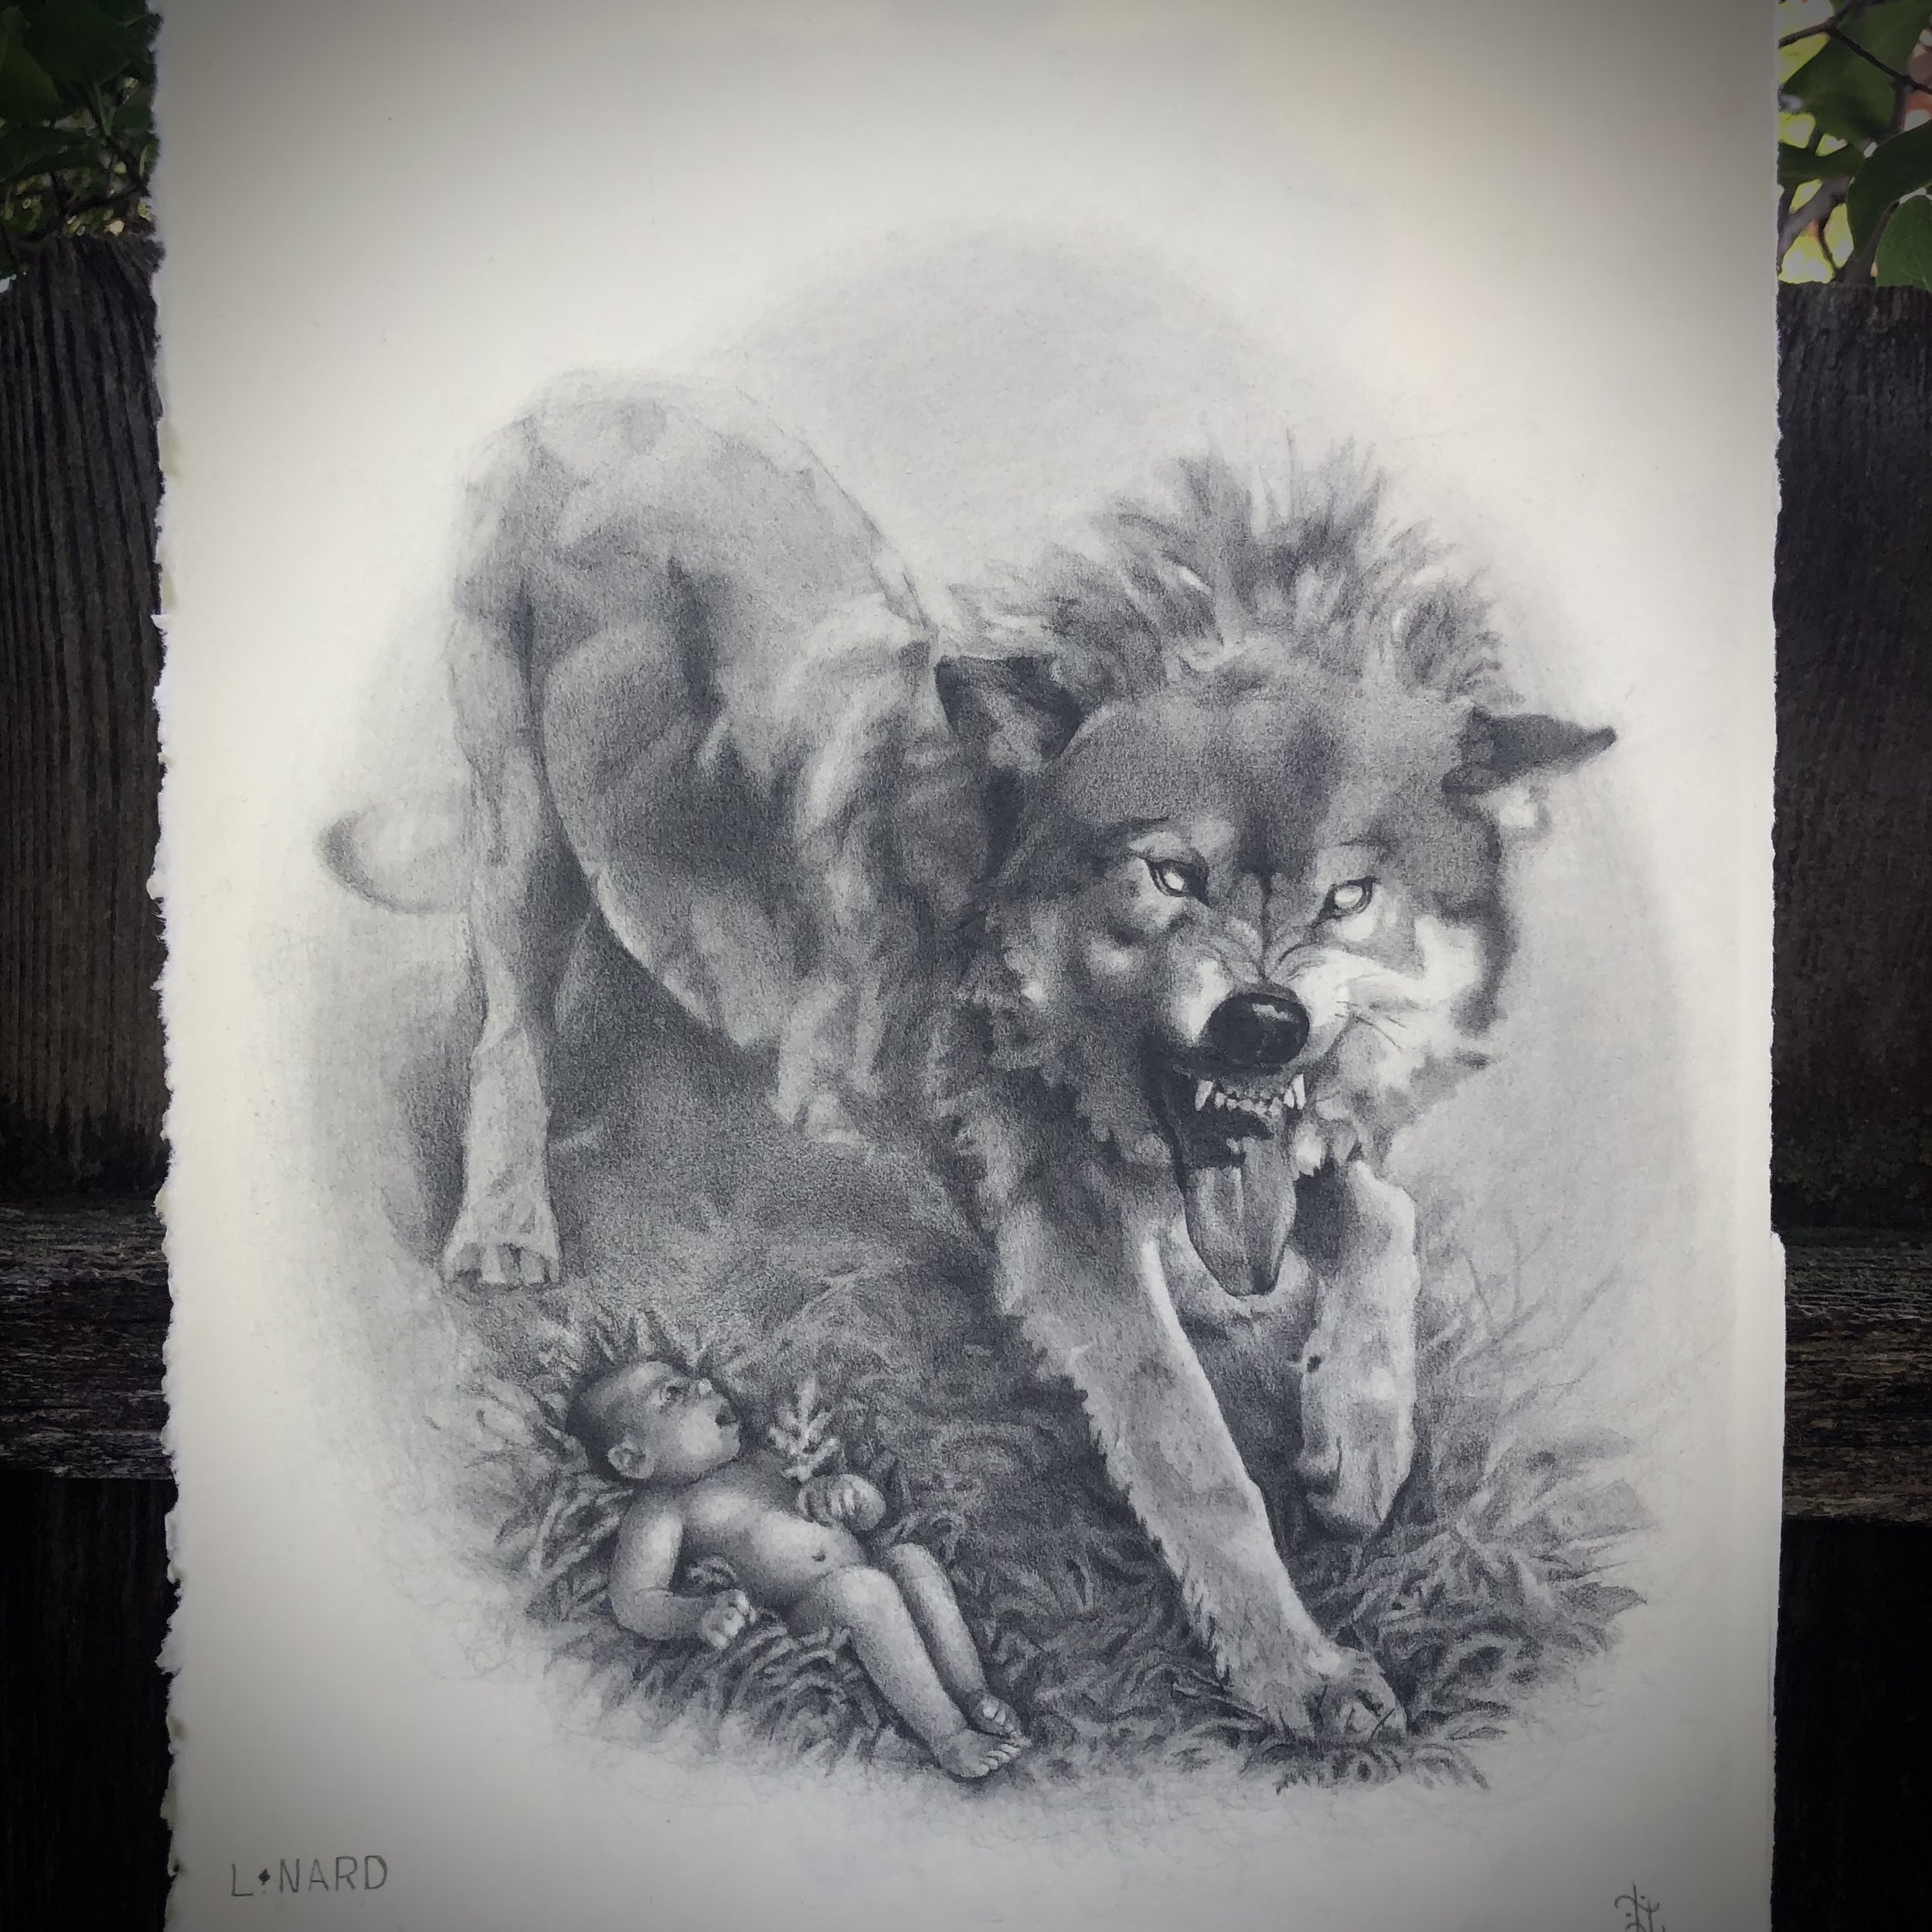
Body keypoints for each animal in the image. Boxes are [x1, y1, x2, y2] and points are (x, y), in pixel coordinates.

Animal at [329, 380, 1612, 1741]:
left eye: (1349, 897)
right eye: (1171, 875)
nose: (1261, 1022)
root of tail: (592, 390)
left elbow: (1383, 1219)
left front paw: (1357, 1453)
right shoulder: (1072, 1228)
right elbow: (1196, 1457)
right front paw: (1295, 1672)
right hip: (521, 835)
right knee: (506, 1031)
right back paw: (508, 1222)